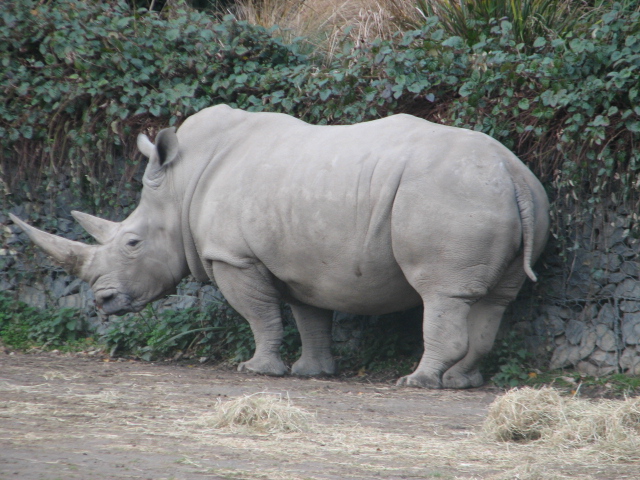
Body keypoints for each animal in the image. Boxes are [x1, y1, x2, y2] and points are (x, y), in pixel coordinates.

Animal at [10, 104, 549, 388]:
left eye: (132, 242)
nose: (102, 302)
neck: (182, 185)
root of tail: (511, 171)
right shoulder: (301, 263)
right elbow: (309, 317)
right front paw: (312, 373)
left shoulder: (234, 256)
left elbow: (260, 315)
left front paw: (258, 370)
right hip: (512, 194)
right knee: (493, 300)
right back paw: (461, 382)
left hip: (451, 194)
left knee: (441, 292)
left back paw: (417, 382)